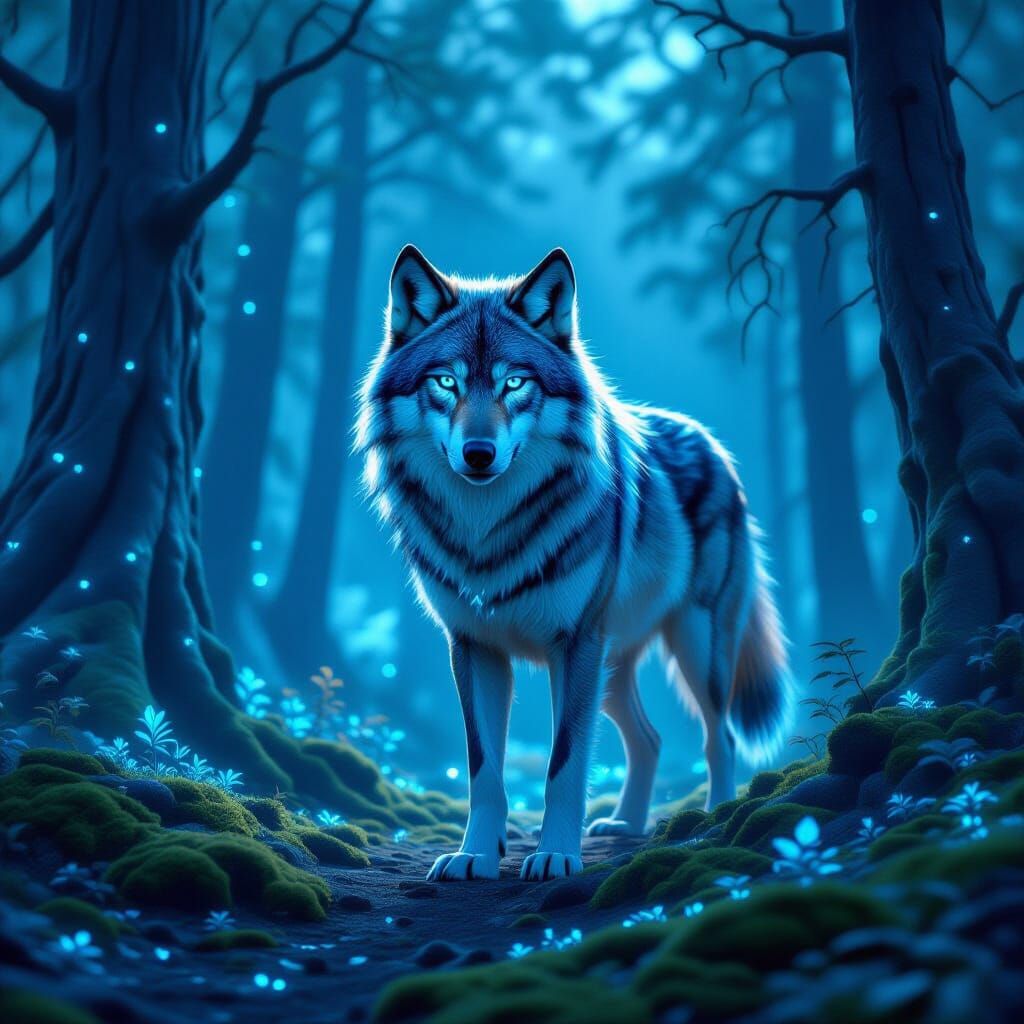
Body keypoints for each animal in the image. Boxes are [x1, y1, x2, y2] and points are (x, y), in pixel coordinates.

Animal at [356, 245, 795, 882]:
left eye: (515, 382)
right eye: (446, 382)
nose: (479, 454)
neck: (488, 531)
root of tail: (710, 442)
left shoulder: (574, 644)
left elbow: (563, 764)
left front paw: (556, 855)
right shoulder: (473, 648)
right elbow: (484, 769)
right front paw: (474, 857)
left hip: (690, 646)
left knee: (722, 738)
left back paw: (713, 818)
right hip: (610, 670)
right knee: (651, 739)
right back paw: (626, 825)